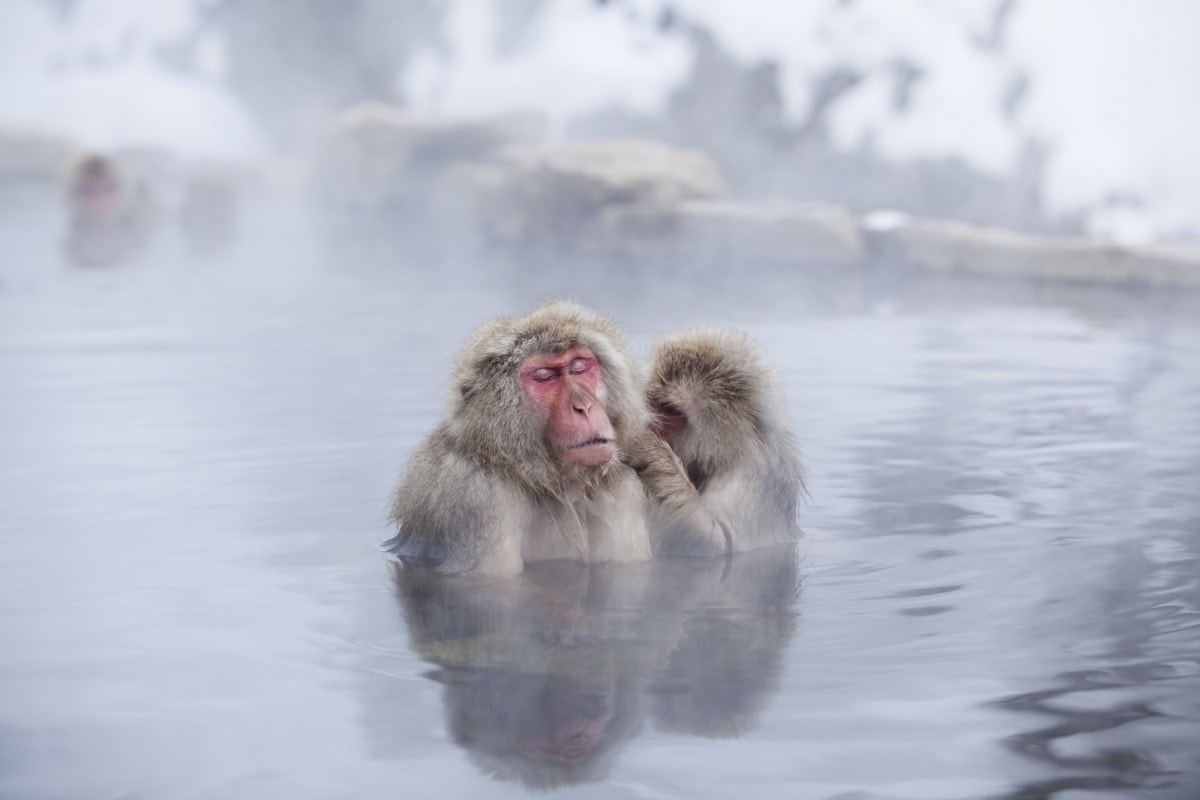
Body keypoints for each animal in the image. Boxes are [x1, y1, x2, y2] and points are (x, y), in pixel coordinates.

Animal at [628, 326, 806, 556]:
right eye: (651, 400)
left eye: (670, 410)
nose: (648, 421)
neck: (724, 453)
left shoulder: (753, 478)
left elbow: (720, 544)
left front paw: (651, 450)